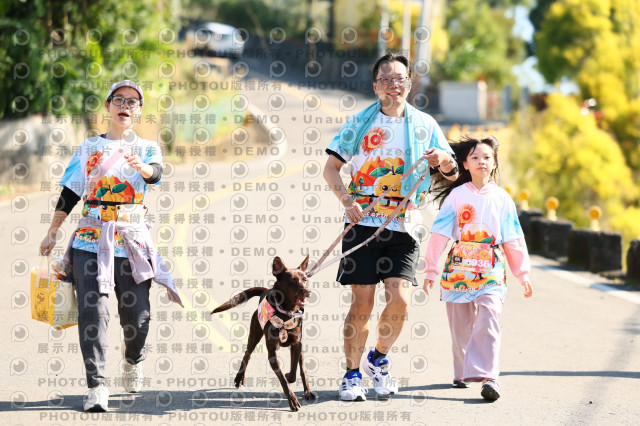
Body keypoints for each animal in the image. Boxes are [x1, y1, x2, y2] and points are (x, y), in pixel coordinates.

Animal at [211, 255, 316, 411]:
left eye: (305, 279)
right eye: (293, 280)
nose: (308, 292)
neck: (286, 312)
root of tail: (265, 290)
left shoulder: (297, 343)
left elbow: (294, 371)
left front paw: (292, 379)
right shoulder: (273, 352)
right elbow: (284, 379)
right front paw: (292, 400)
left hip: (301, 345)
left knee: (302, 368)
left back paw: (308, 391)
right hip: (254, 334)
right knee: (247, 354)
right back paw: (239, 378)